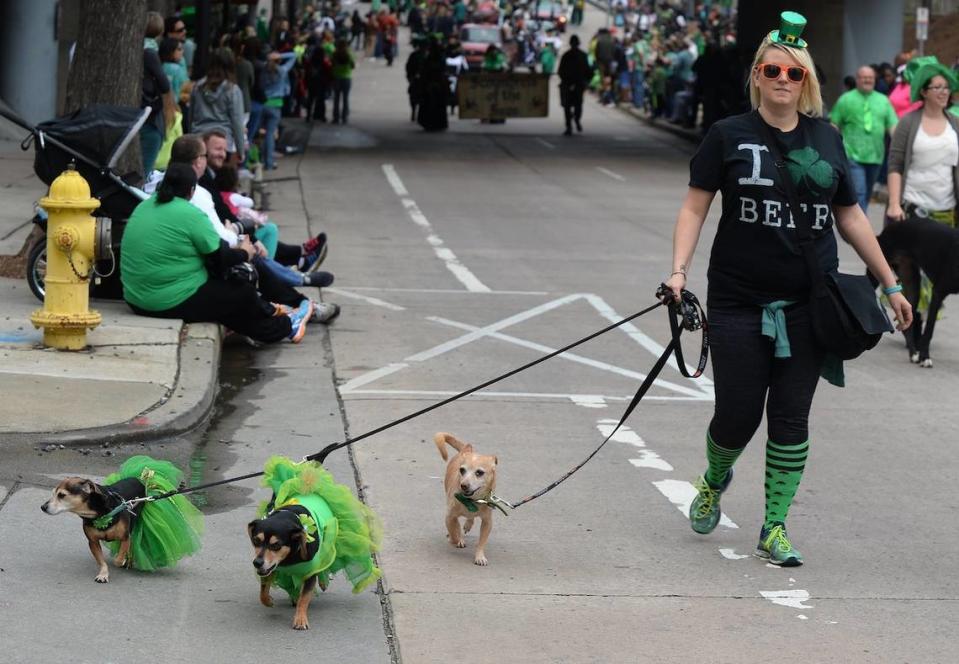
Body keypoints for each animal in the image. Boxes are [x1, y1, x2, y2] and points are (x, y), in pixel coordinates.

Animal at [43, 456, 206, 580]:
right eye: (53, 493)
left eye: (62, 495)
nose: (43, 507)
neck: (100, 514)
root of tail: (141, 479)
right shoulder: (93, 542)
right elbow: (101, 561)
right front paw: (103, 574)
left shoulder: (125, 536)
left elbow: (122, 552)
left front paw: (120, 561)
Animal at [248, 460, 382, 632]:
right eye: (256, 541)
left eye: (276, 545)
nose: (257, 562)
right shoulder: (270, 568)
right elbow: (263, 590)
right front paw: (269, 600)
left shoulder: (309, 573)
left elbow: (304, 598)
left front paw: (300, 619)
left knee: (326, 561)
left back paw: (323, 582)